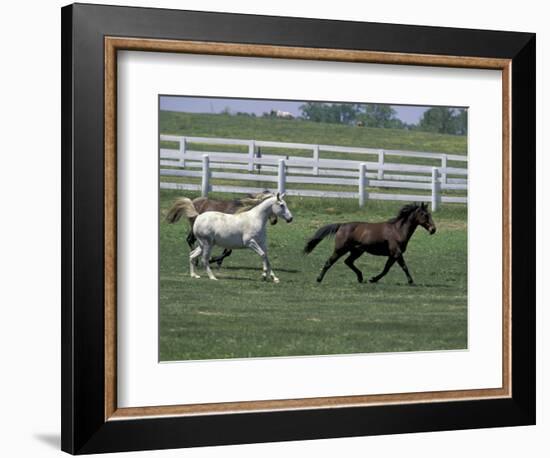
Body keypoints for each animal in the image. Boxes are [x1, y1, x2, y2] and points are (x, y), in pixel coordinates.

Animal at [304, 203, 438, 284]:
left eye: (430, 214)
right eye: (424, 215)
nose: (433, 229)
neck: (397, 230)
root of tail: (342, 225)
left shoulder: (392, 255)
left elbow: (386, 269)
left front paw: (373, 279)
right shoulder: (397, 253)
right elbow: (404, 267)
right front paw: (411, 281)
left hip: (357, 251)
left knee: (348, 262)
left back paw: (360, 277)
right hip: (340, 250)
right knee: (329, 262)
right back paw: (319, 279)